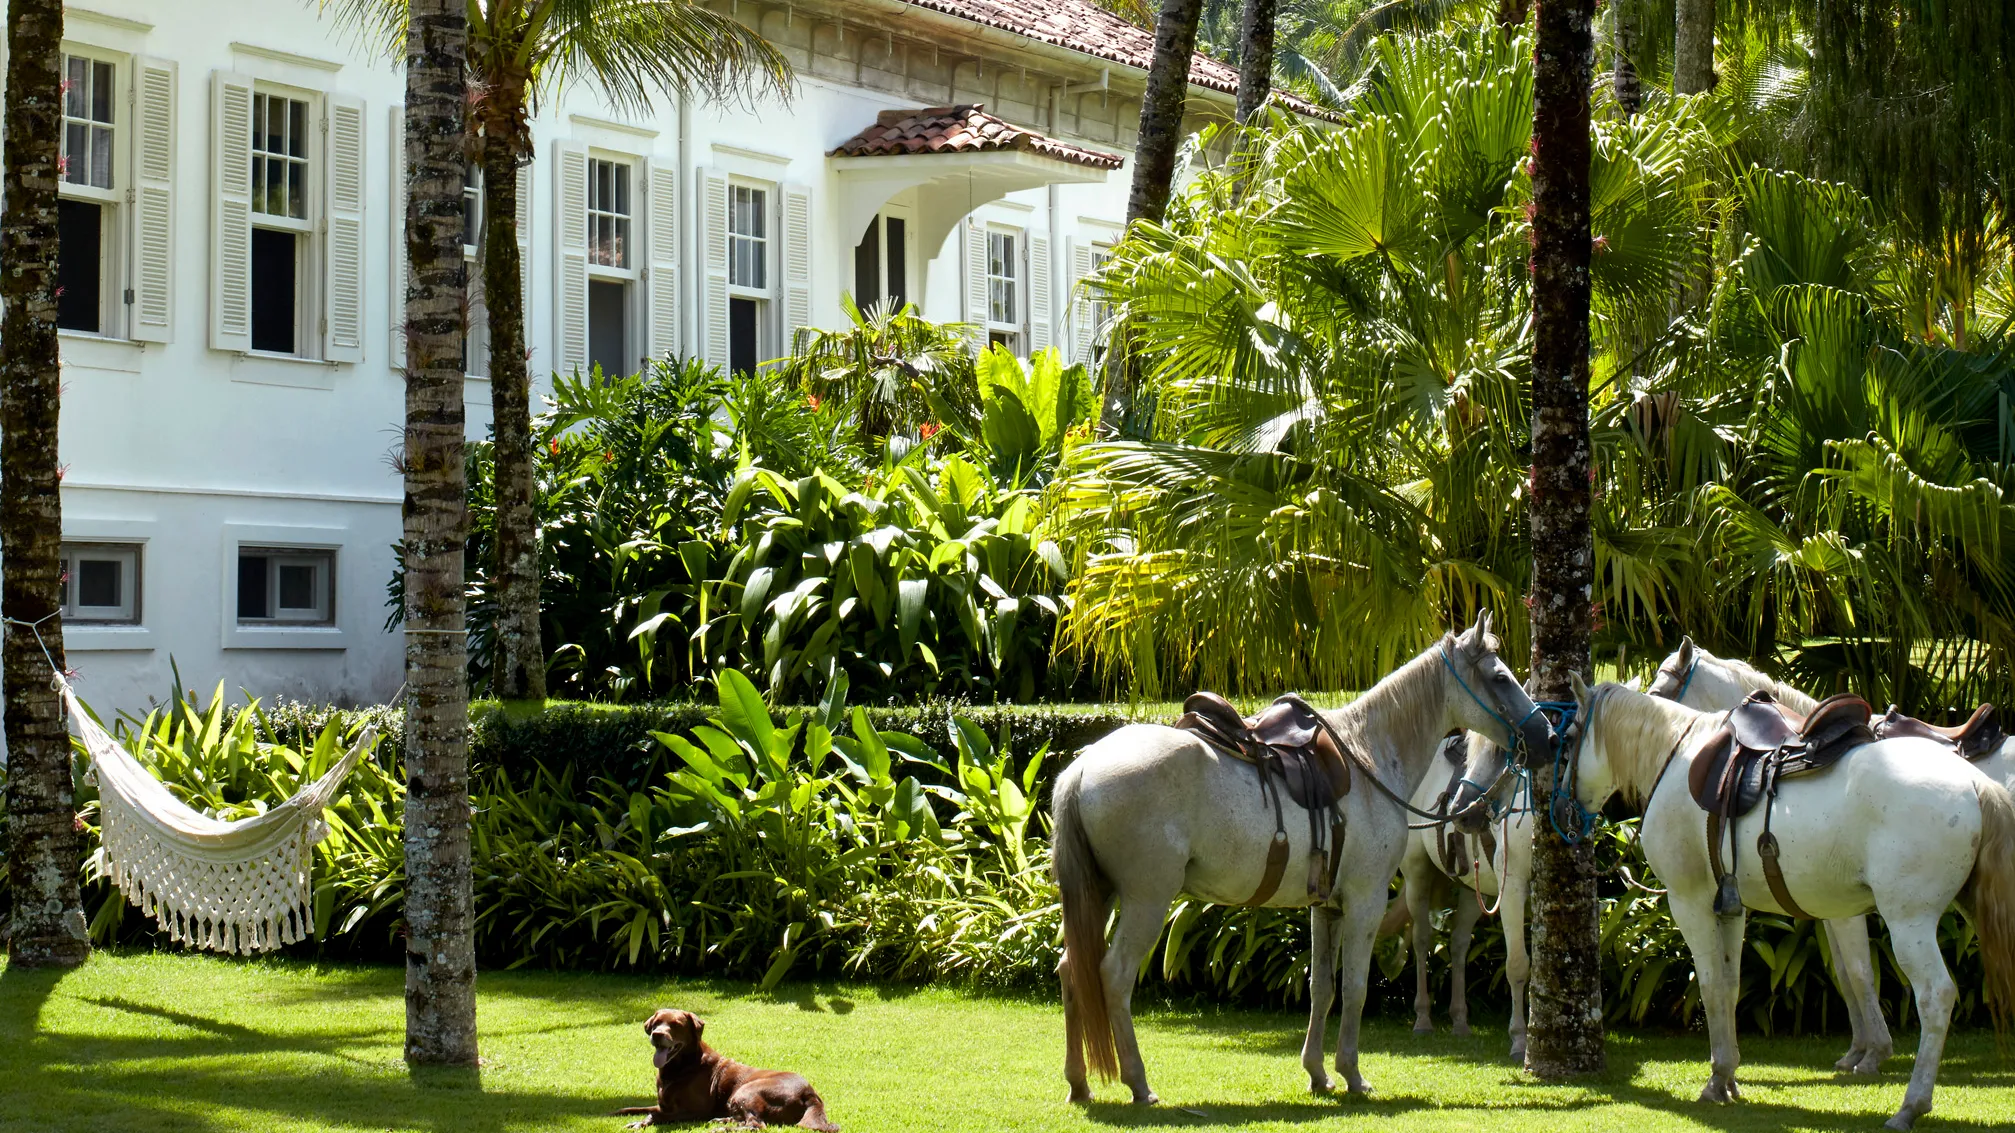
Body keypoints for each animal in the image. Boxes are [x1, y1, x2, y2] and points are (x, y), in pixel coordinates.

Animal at [608, 1003, 838, 1120]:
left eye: (676, 1025)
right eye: (656, 1023)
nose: (657, 1034)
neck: (681, 1067)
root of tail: (810, 1093)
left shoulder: (695, 1111)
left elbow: (657, 1116)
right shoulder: (662, 1104)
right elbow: (638, 1108)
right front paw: (616, 1112)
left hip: (746, 1090)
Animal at [1047, 612, 1547, 1096]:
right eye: (1500, 677)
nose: (1545, 732)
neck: (1367, 755)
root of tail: (1082, 767)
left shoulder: (1326, 906)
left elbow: (1322, 988)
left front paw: (1318, 1073)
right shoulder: (1364, 902)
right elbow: (1355, 987)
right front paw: (1351, 1074)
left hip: (1101, 895)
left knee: (1072, 970)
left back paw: (1078, 1082)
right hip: (1146, 901)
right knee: (1114, 975)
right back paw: (1138, 1082)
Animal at [1466, 673, 2015, 1120]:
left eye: (1569, 738)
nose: (1560, 810)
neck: (1673, 756)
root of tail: (1974, 783)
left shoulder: (1689, 902)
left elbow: (1710, 986)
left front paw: (1716, 1080)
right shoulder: (1731, 908)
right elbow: (1730, 987)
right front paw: (1728, 1078)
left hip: (1909, 922)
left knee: (1936, 996)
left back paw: (1911, 1105)